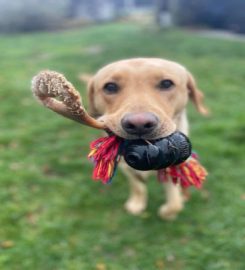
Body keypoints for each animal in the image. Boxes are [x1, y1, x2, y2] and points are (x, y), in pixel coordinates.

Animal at [81, 57, 208, 219]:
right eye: (110, 87)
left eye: (166, 83)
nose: (139, 124)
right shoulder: (125, 165)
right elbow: (138, 186)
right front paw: (136, 204)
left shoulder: (174, 164)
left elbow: (175, 203)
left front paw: (168, 212)